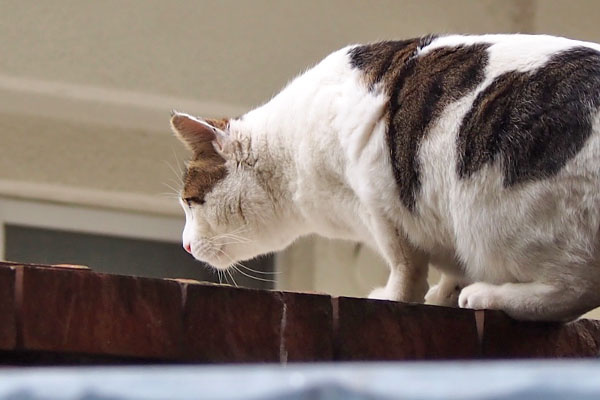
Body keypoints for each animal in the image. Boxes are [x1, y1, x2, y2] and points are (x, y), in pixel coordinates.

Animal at [171, 33, 600, 322]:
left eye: (190, 202)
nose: (186, 246)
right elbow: (447, 268)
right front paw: (444, 293)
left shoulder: (377, 198)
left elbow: (405, 265)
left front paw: (396, 295)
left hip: (497, 218)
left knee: (575, 289)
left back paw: (487, 296)